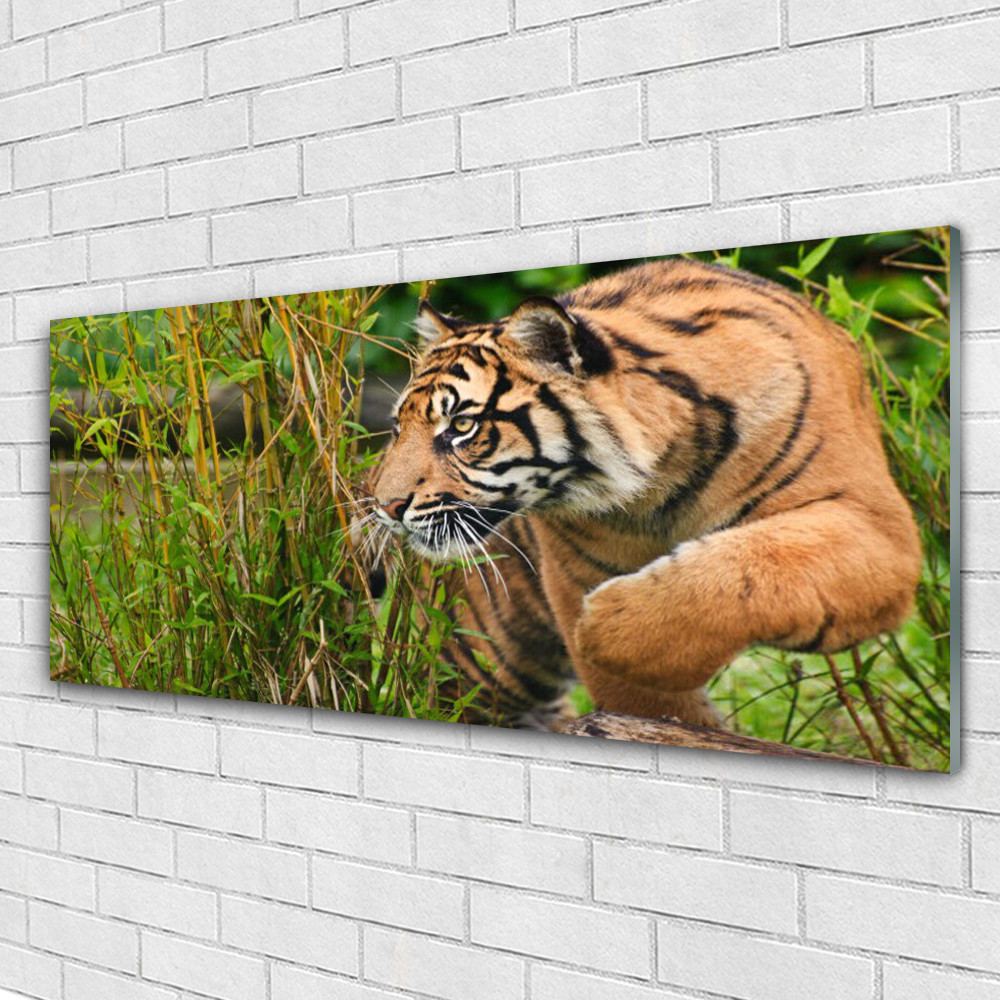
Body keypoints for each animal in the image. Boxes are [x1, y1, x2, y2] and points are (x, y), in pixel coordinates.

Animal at [366, 257, 922, 730]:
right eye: (397, 428)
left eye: (462, 426)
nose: (386, 507)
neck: (661, 480)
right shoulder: (578, 573)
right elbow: (646, 700)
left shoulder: (874, 527)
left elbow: (750, 568)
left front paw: (603, 628)